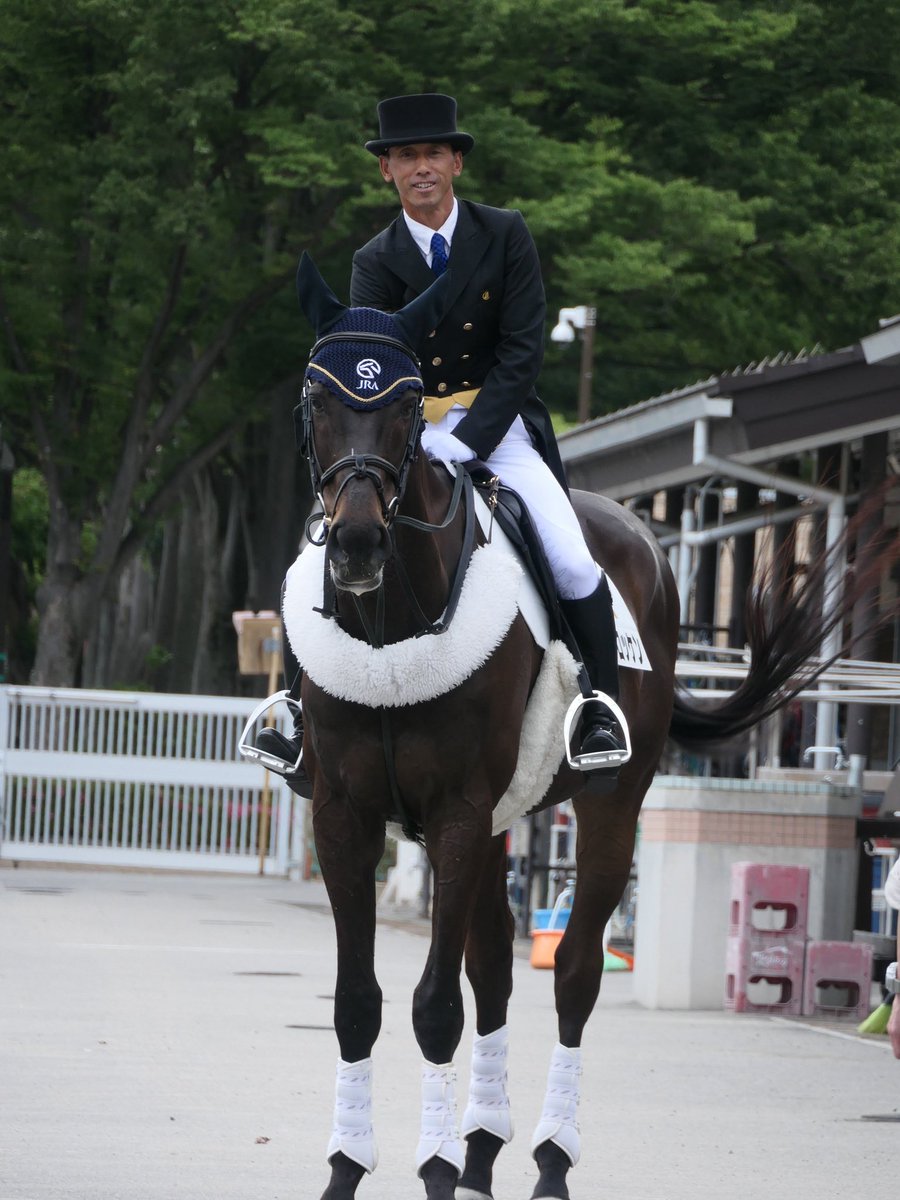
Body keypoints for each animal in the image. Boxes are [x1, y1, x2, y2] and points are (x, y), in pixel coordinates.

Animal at [278, 255, 878, 1200]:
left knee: (572, 972)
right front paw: (350, 1169)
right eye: (316, 395)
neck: (390, 624)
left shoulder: (454, 814)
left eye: (409, 402)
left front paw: (432, 1170)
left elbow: (434, 1006)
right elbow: (358, 1002)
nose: (358, 546)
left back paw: (550, 1159)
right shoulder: (345, 814)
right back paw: (482, 1149)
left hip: (606, 807)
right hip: (500, 820)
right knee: (494, 967)